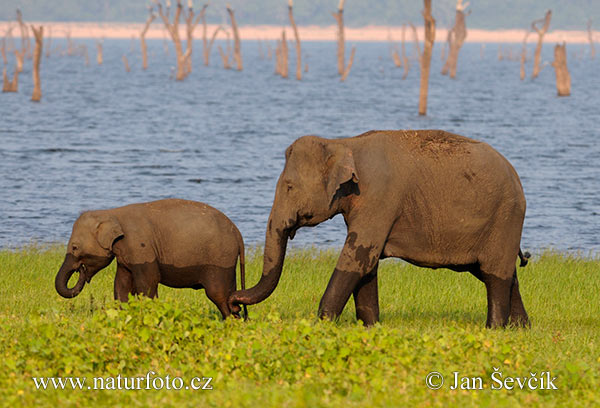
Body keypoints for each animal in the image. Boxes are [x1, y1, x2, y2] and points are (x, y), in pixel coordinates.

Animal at [54, 198, 246, 318]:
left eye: (75, 247)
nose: (80, 270)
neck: (111, 213)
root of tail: (238, 234)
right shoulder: (126, 255)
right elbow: (121, 284)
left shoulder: (141, 247)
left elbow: (148, 282)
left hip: (220, 260)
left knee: (218, 294)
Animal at [227, 131, 528, 328]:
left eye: (289, 186)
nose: (234, 303)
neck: (343, 143)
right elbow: (366, 263)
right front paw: (371, 327)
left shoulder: (379, 199)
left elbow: (356, 259)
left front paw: (321, 324)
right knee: (501, 274)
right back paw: (520, 328)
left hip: (505, 217)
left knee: (495, 275)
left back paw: (494, 329)